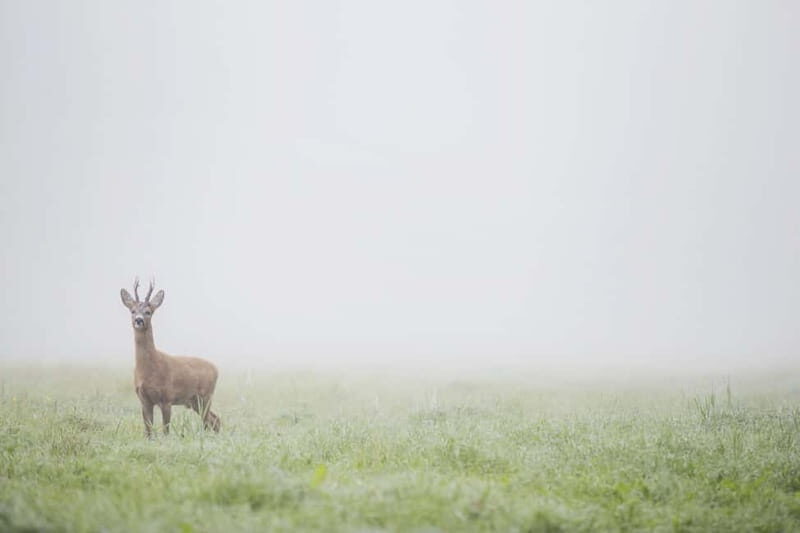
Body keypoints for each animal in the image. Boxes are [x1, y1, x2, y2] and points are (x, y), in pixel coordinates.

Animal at [120, 278, 220, 437]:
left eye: (148, 312)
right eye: (132, 311)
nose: (138, 320)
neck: (149, 369)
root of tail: (216, 369)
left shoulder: (167, 397)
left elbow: (166, 430)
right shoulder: (144, 399)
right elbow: (148, 430)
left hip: (206, 395)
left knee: (211, 420)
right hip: (194, 401)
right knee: (214, 419)